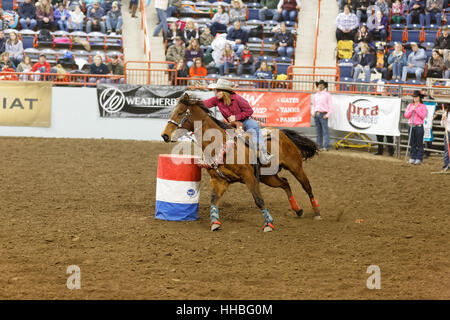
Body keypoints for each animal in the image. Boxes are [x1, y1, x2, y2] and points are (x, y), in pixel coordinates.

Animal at [160, 93, 322, 232]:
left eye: (180, 113)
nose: (165, 135)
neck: (220, 144)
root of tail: (282, 132)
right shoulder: (219, 180)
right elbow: (213, 200)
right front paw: (215, 222)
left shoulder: (249, 177)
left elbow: (259, 200)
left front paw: (268, 224)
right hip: (268, 177)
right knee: (285, 183)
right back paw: (297, 210)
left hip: (295, 167)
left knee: (307, 186)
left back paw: (317, 213)